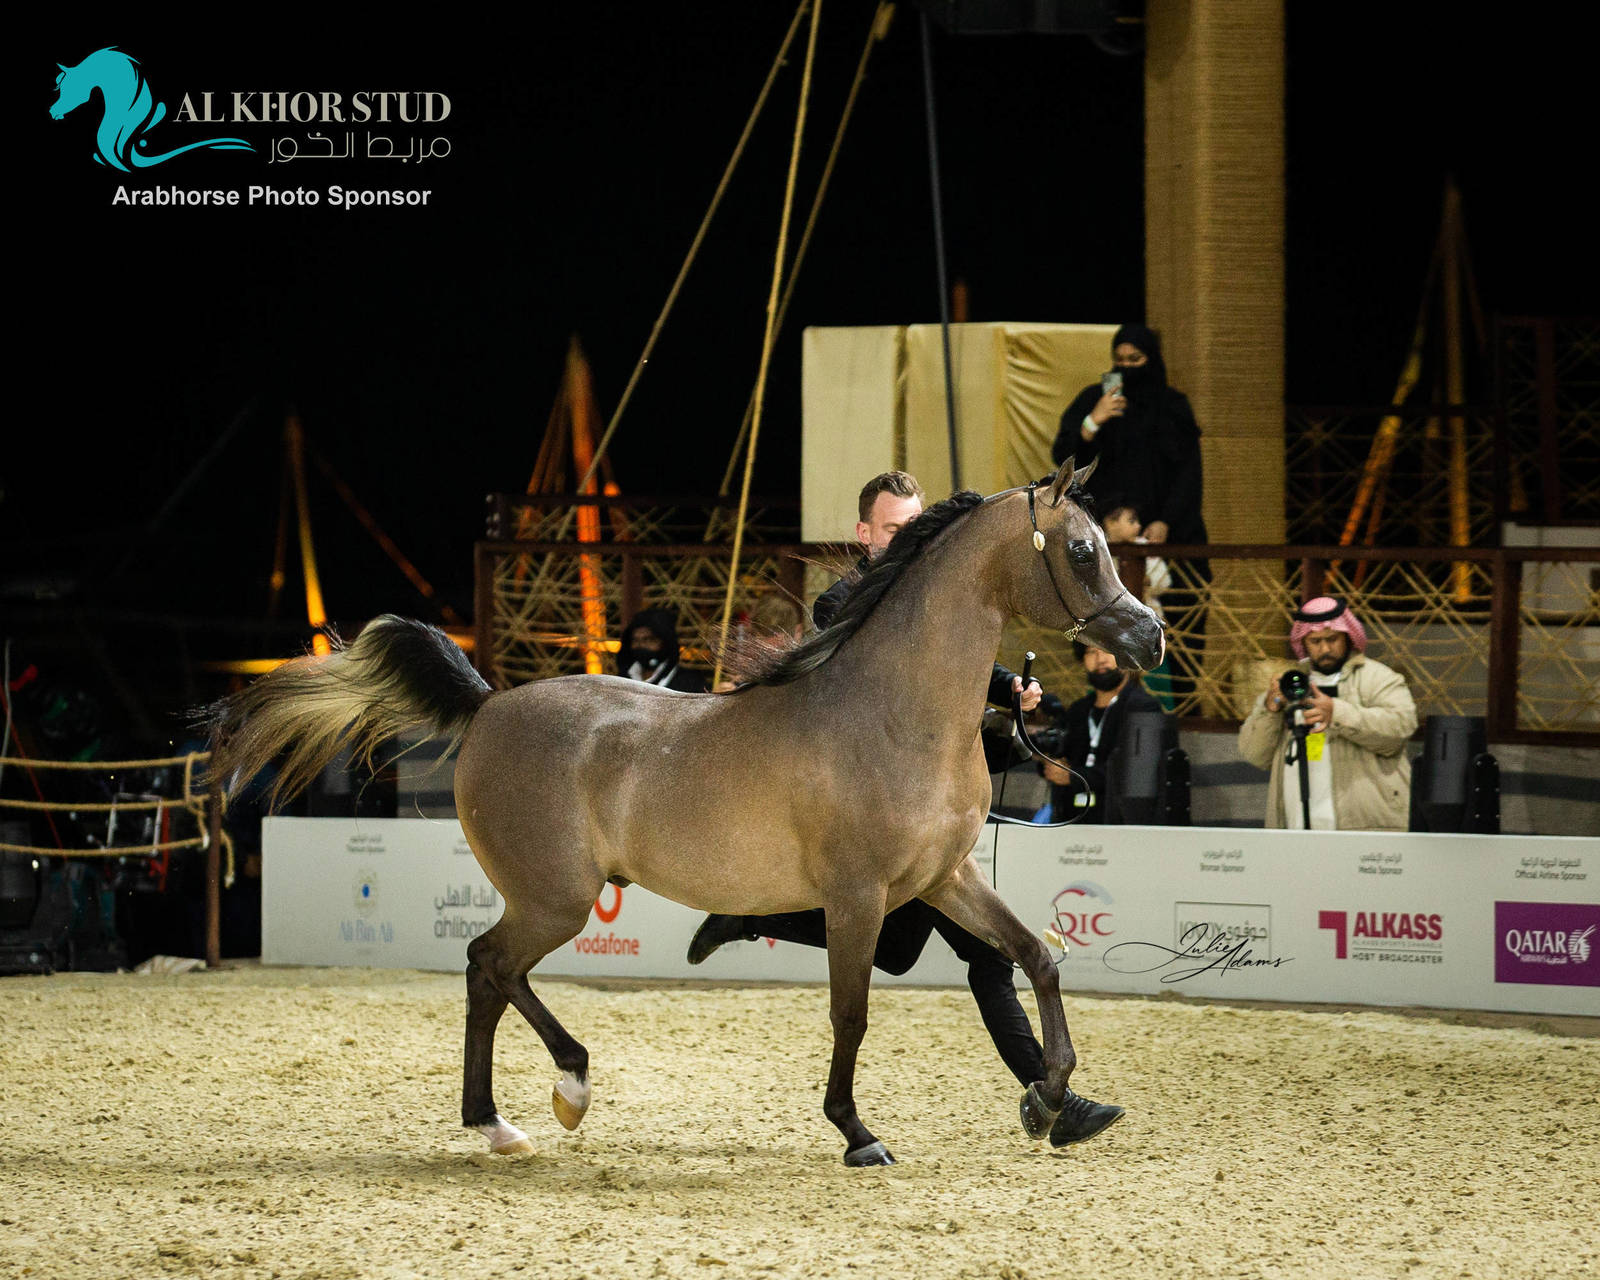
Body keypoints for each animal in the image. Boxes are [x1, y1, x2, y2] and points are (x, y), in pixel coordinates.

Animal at [207, 456, 1164, 1166]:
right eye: (1083, 551)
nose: (1149, 636)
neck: (895, 712)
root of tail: (486, 707)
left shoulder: (945, 878)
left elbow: (1035, 959)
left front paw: (1052, 1101)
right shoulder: (858, 896)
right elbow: (850, 1012)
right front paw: (858, 1133)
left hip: (554, 898)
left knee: (492, 973)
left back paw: (522, 1113)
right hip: (555, 897)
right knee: (489, 965)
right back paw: (546, 1098)